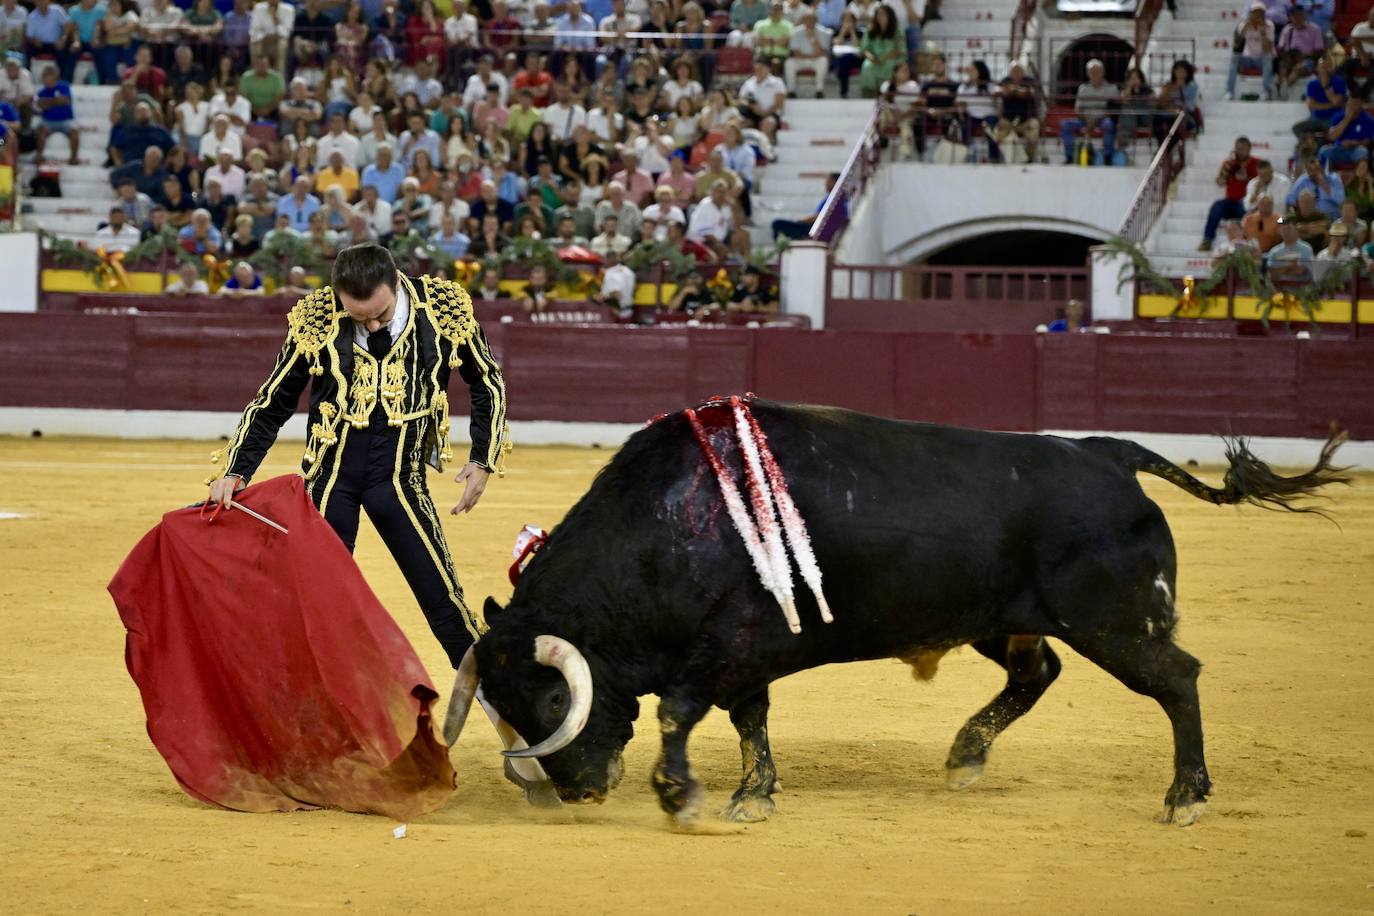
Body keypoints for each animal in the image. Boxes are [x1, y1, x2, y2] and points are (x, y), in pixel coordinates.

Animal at [445, 401, 1346, 829]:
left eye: (553, 696)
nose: (580, 791)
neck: (670, 522)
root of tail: (1106, 453)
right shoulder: (746, 657)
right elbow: (748, 720)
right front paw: (755, 793)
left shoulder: (730, 642)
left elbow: (681, 710)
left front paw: (682, 796)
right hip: (1002, 620)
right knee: (1038, 672)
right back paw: (965, 755)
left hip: (1114, 622)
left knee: (1177, 680)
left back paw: (1186, 796)